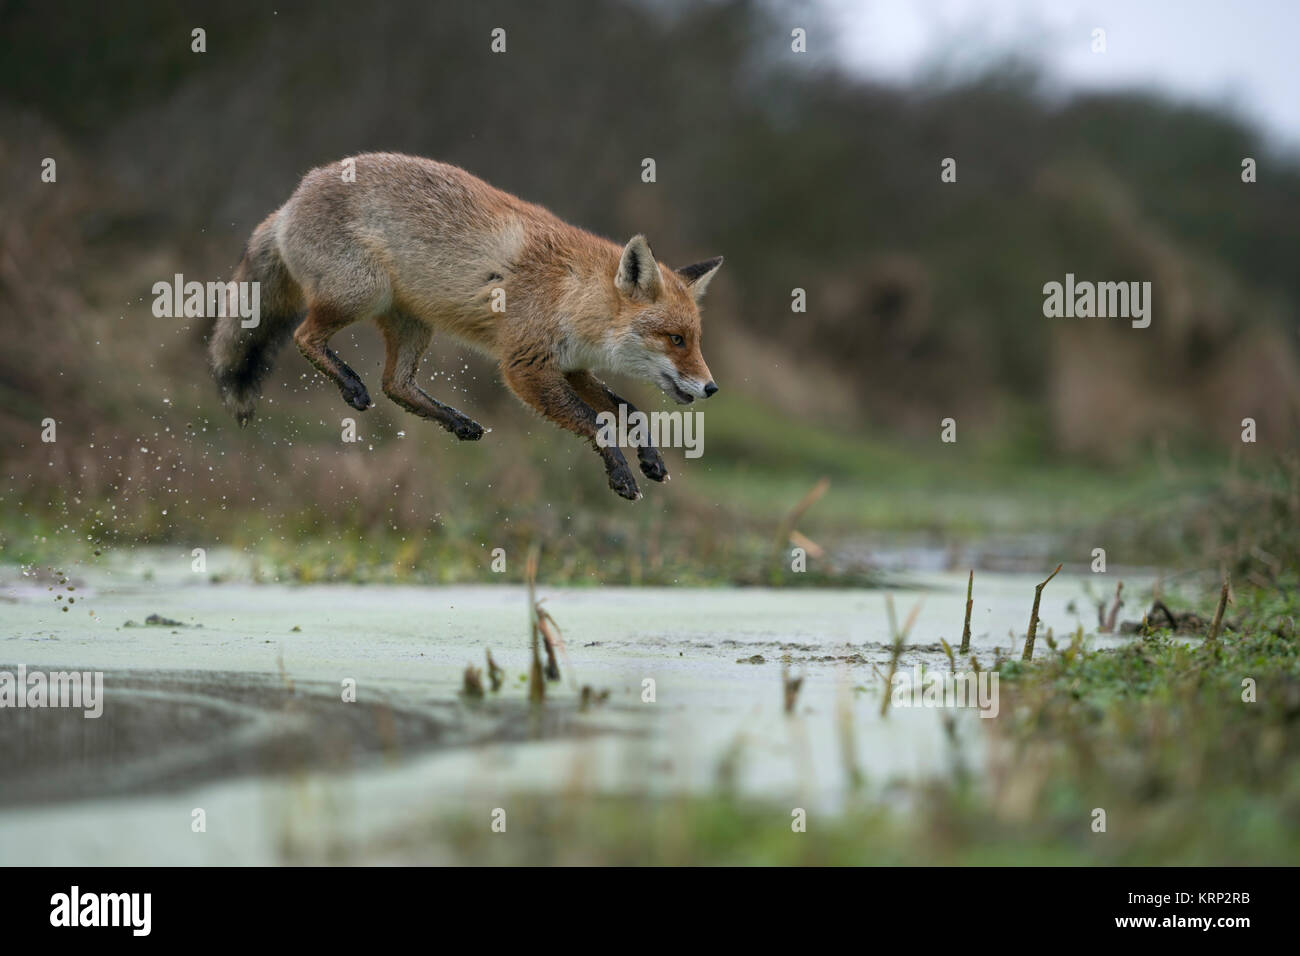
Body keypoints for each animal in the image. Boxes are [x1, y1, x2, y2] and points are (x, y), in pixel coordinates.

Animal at [208, 153, 728, 502]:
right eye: (676, 339)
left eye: (695, 340)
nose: (711, 388)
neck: (569, 294)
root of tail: (289, 202)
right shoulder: (525, 367)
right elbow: (595, 422)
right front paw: (621, 475)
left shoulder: (571, 367)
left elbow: (629, 410)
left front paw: (650, 459)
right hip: (361, 293)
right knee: (306, 339)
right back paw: (352, 386)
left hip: (412, 325)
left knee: (396, 384)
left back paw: (458, 423)